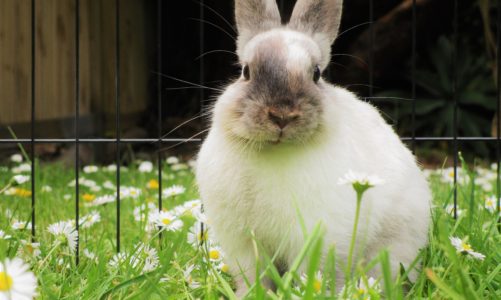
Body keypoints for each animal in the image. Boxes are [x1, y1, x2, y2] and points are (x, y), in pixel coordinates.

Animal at [195, 0, 430, 296]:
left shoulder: (318, 235)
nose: (282, 115)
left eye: (316, 74)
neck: (275, 151)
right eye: (246, 72)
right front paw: (248, 295)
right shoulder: (243, 242)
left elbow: (315, 272)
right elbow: (254, 275)